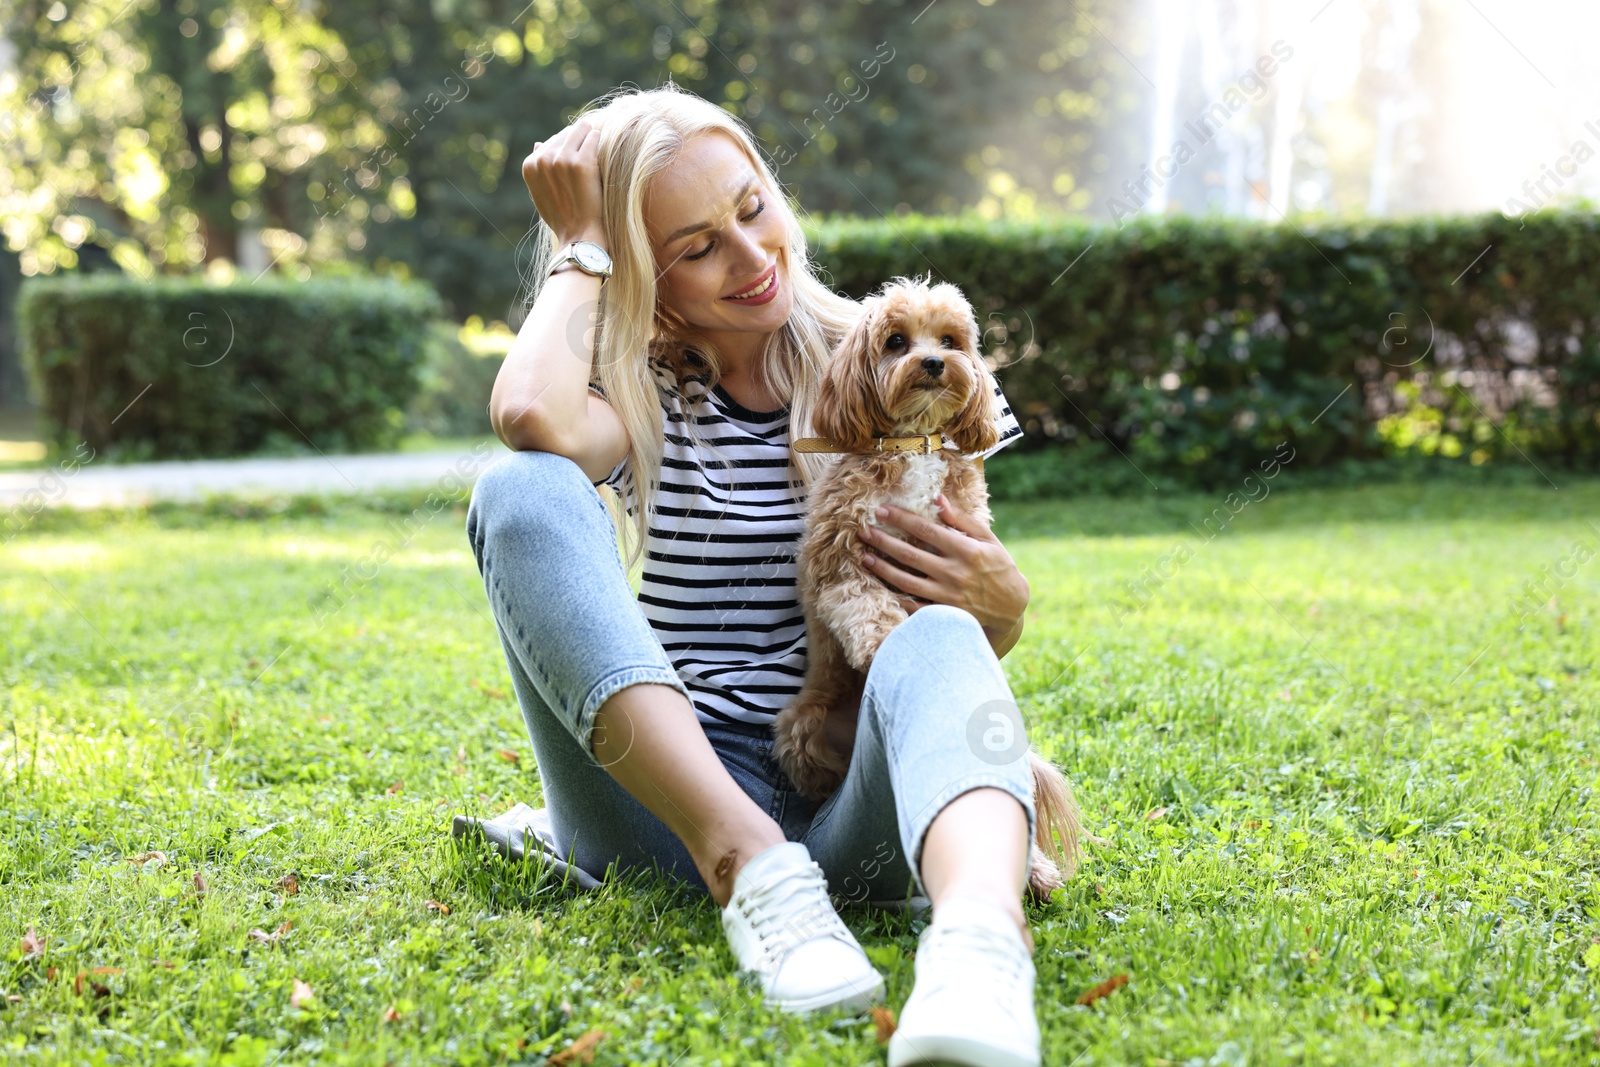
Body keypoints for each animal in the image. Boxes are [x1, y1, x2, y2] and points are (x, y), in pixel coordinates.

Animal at [774, 273, 1088, 902]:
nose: (935, 363)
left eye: (950, 339)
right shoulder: (841, 562)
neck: (913, 445)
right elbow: (868, 607)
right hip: (801, 726)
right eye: (896, 341)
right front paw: (885, 643)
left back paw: (1038, 873)